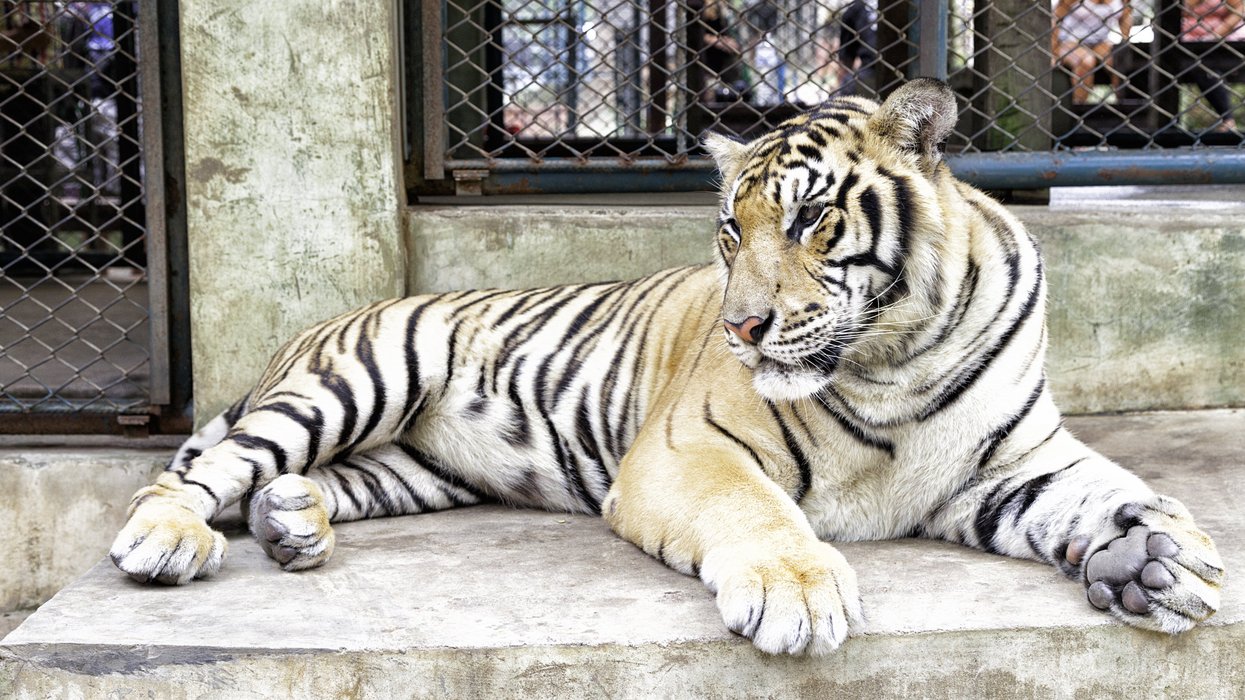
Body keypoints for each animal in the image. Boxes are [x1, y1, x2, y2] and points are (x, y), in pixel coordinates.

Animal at [109, 79, 1224, 656]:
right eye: (732, 231)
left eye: (811, 221)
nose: (742, 328)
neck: (897, 355)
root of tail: (319, 327)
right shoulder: (690, 450)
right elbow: (756, 512)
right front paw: (800, 593)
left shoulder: (1008, 465)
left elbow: (1114, 491)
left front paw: (1164, 559)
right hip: (361, 378)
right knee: (201, 470)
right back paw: (167, 542)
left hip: (414, 465)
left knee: (297, 481)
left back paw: (290, 524)